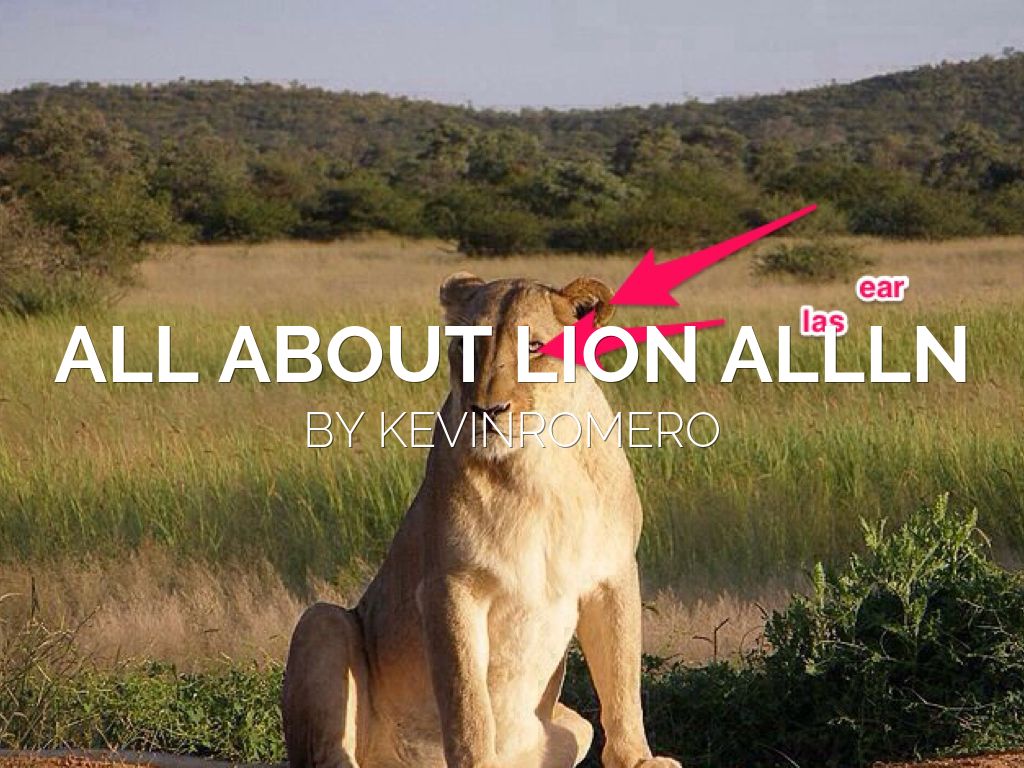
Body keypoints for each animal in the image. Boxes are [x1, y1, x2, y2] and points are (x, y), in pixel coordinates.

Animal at [282, 273, 680, 768]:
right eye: (465, 345)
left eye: (534, 347)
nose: (488, 411)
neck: (540, 464)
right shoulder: (449, 587)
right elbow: (467, 703)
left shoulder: (612, 572)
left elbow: (623, 679)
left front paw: (640, 760)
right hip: (322, 620)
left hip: (575, 726)